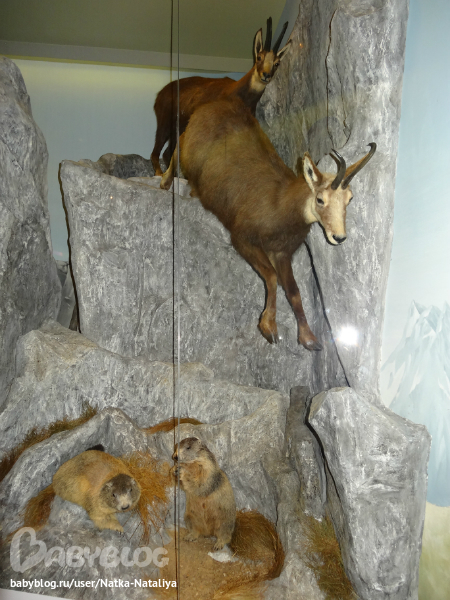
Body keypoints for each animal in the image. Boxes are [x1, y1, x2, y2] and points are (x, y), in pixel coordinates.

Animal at [151, 17, 291, 175]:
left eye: (277, 63)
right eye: (259, 57)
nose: (266, 75)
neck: (240, 95)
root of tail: (160, 94)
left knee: (167, 152)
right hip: (165, 122)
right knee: (156, 151)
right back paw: (159, 174)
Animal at [161, 98, 376, 351]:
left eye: (350, 198)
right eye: (320, 199)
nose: (339, 237)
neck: (279, 203)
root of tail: (212, 105)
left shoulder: (281, 253)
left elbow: (294, 292)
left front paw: (309, 339)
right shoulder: (242, 239)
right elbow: (271, 277)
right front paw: (269, 328)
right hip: (186, 147)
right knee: (177, 144)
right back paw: (164, 182)